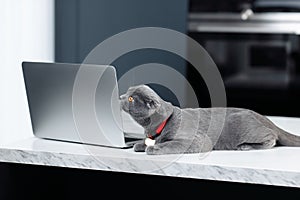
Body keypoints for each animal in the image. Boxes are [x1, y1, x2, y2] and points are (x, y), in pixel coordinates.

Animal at [119, 84, 300, 155]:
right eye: (127, 92)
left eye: (131, 98)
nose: (120, 96)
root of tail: (265, 118)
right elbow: (141, 143)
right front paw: (139, 144)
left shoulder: (197, 140)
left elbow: (170, 144)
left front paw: (153, 148)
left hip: (244, 126)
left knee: (272, 138)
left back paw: (245, 146)